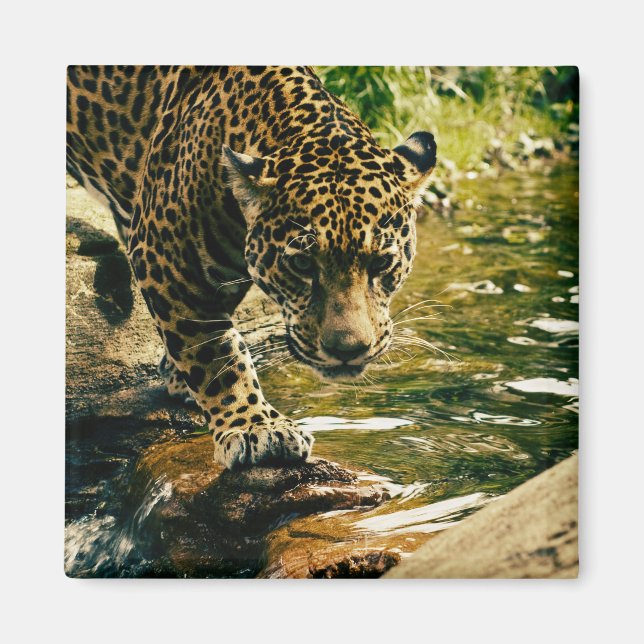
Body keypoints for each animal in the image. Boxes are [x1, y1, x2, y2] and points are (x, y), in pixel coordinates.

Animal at [66, 66, 437, 470]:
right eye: (302, 263)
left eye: (381, 262)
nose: (348, 350)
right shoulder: (164, 255)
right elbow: (215, 353)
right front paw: (256, 427)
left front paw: (177, 376)